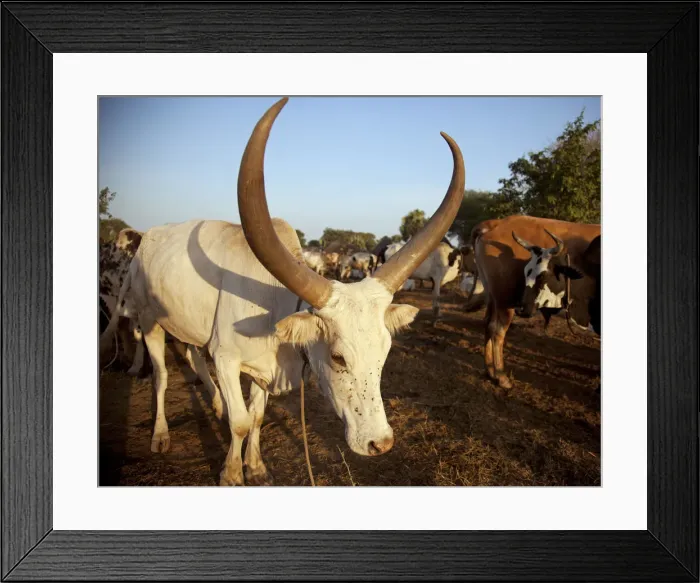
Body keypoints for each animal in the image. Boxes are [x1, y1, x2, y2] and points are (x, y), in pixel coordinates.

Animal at [99, 97, 466, 486]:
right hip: (149, 319)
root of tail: (145, 240)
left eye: (386, 351)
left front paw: (256, 466)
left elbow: (257, 417)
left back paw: (214, 403)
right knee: (162, 375)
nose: (379, 443)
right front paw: (232, 474)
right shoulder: (226, 358)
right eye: (338, 357)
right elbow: (240, 422)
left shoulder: (261, 369)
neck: (274, 305)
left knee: (193, 355)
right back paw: (160, 434)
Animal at [471, 215, 601, 389]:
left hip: (493, 296)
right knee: (497, 331)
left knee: (488, 325)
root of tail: (497, 223)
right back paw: (501, 376)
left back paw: (490, 371)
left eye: (543, 275)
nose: (522, 308)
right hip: (505, 301)